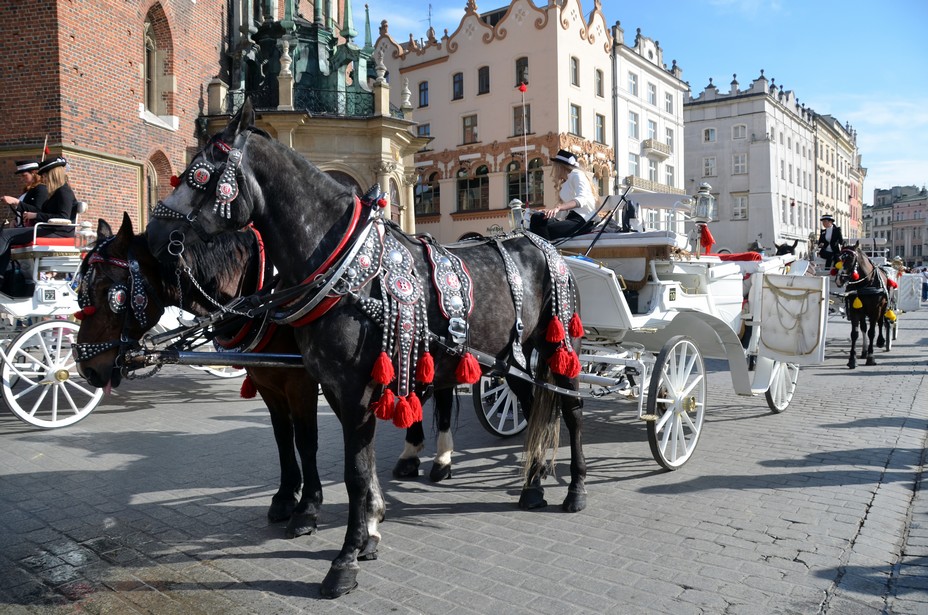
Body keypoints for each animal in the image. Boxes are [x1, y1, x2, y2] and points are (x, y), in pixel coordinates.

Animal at [141, 101, 584, 600]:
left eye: (200, 174)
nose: (152, 238)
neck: (349, 271)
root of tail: (540, 242)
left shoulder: (353, 390)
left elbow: (352, 471)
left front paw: (346, 559)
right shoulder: (332, 388)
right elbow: (353, 461)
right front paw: (371, 529)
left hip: (559, 344)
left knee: (571, 408)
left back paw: (575, 490)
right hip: (511, 357)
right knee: (531, 404)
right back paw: (532, 487)